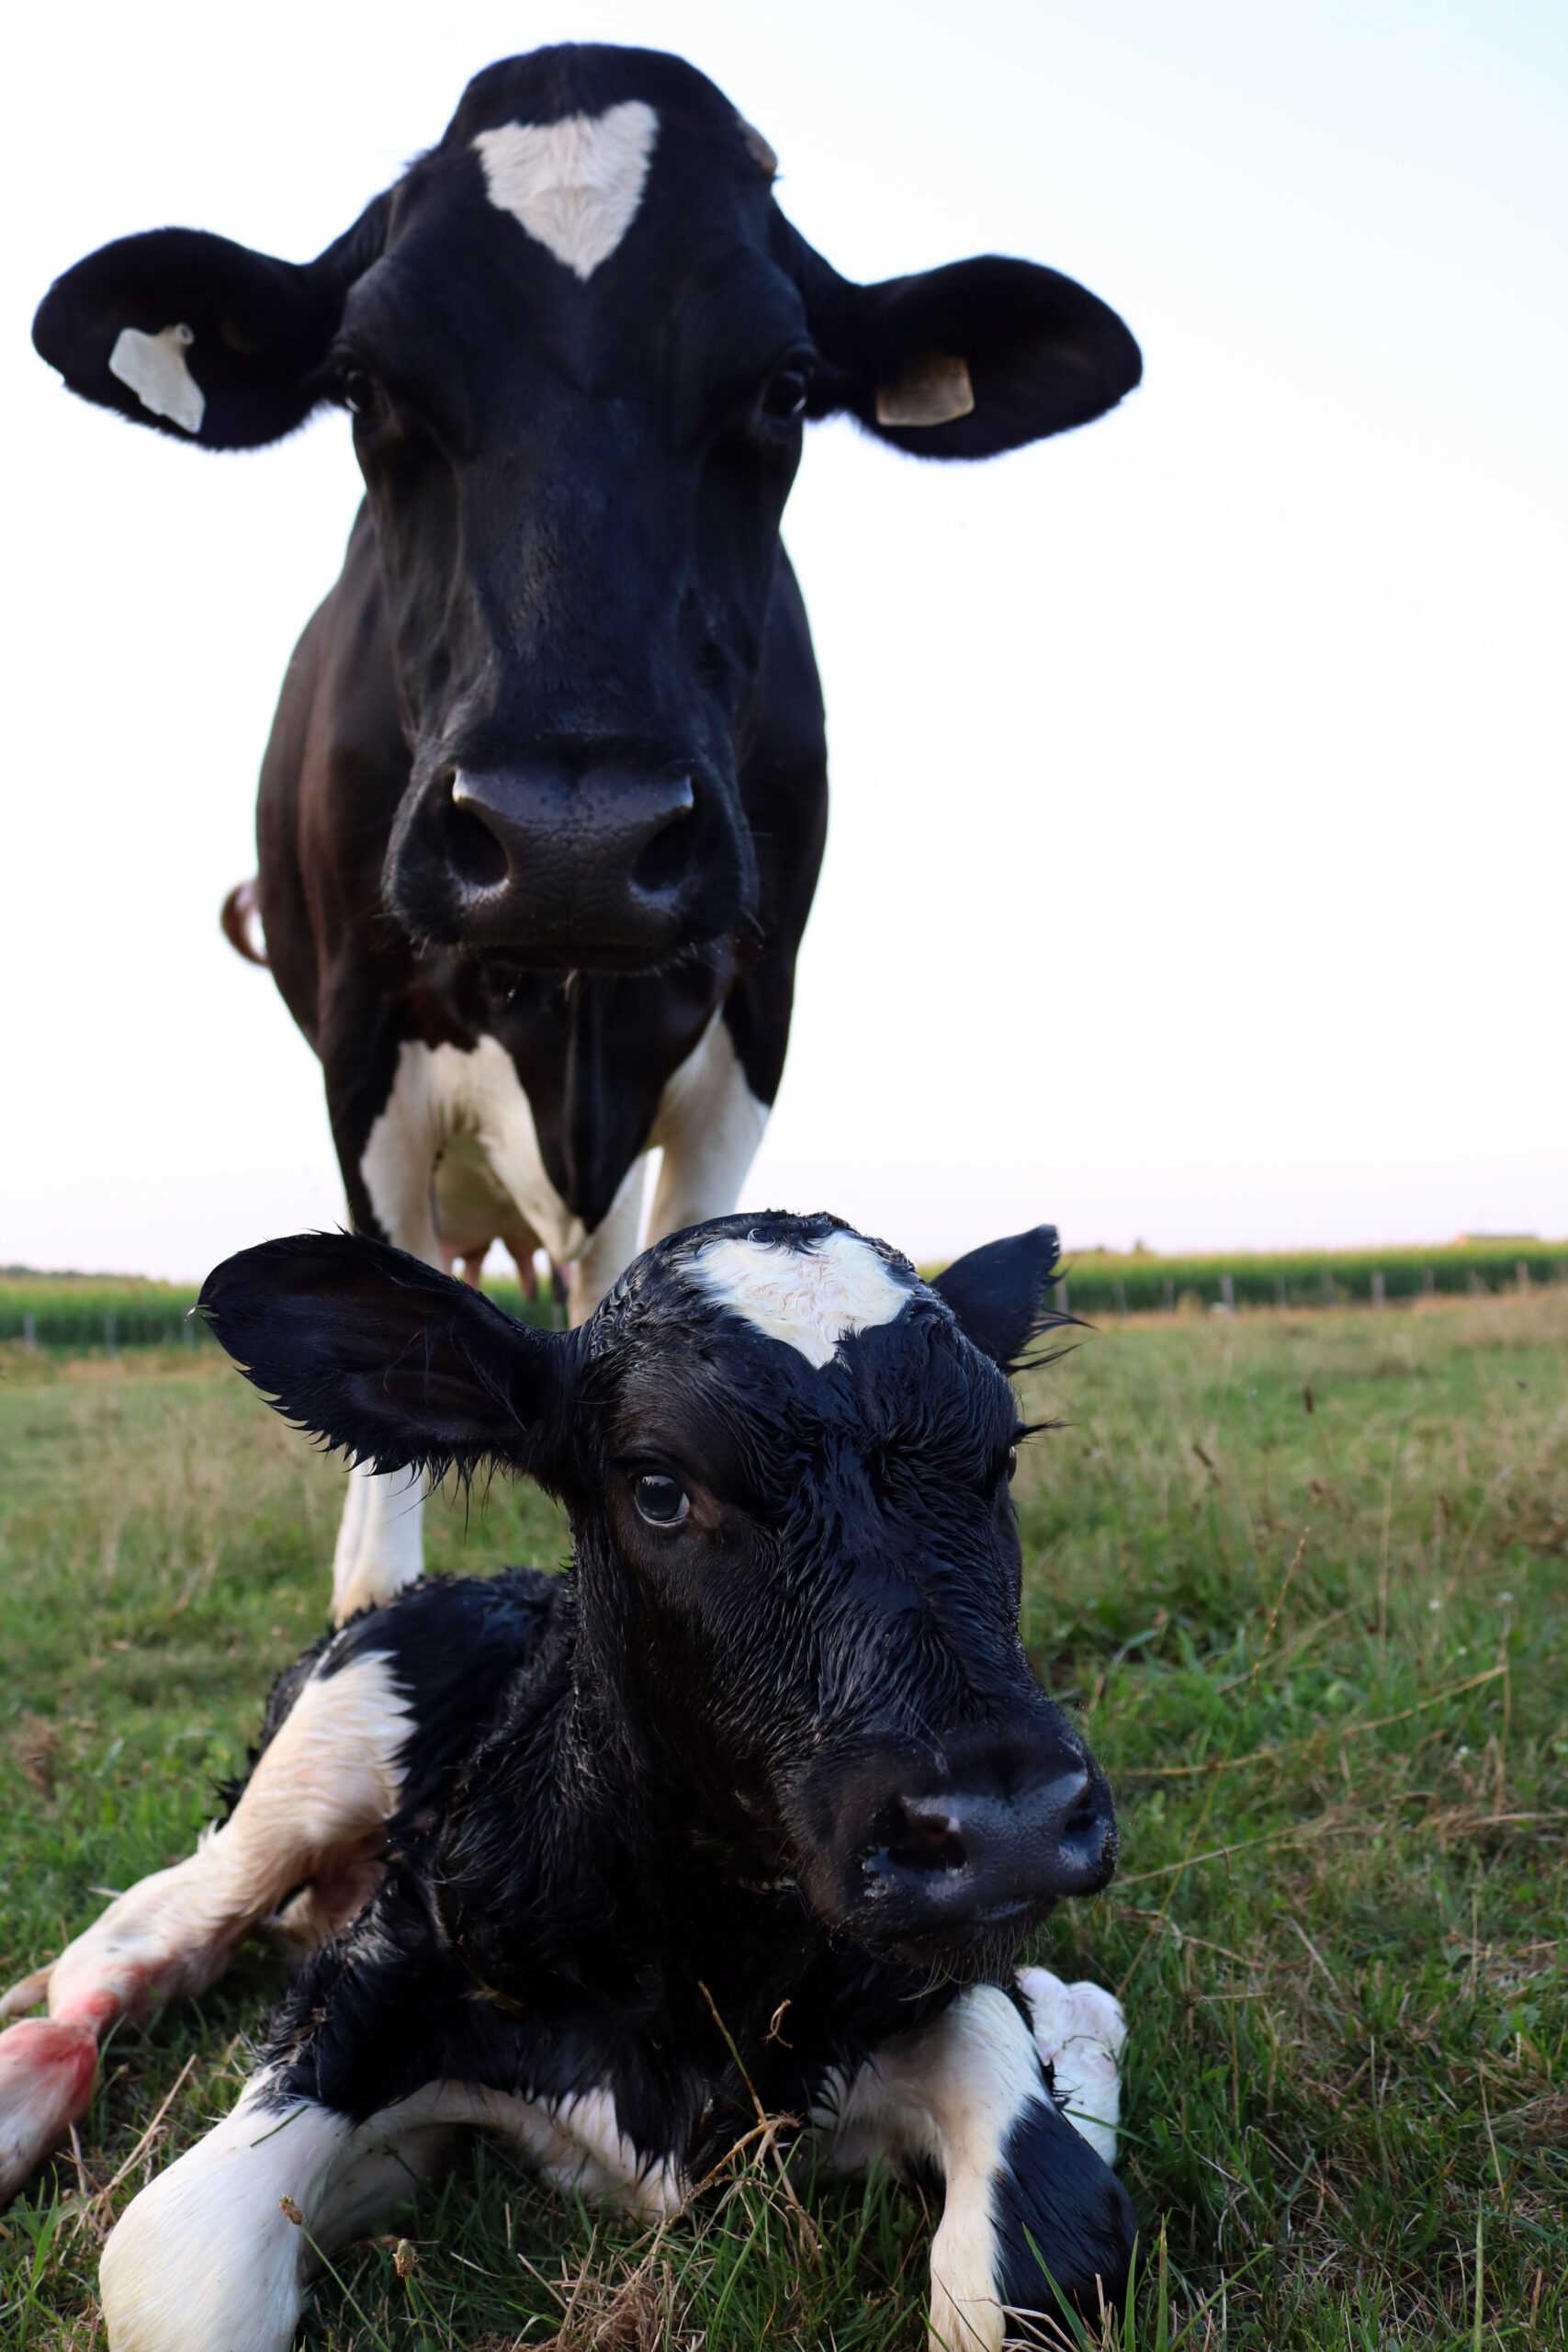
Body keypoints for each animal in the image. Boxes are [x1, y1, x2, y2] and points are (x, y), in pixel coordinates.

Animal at [0, 1213, 1133, 2352]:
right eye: (659, 1487)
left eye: (999, 1457)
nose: (1008, 1823)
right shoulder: (380, 1966)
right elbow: (180, 2267)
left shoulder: (930, 1983)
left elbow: (1038, 2265)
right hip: (313, 1770)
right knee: (141, 1936)